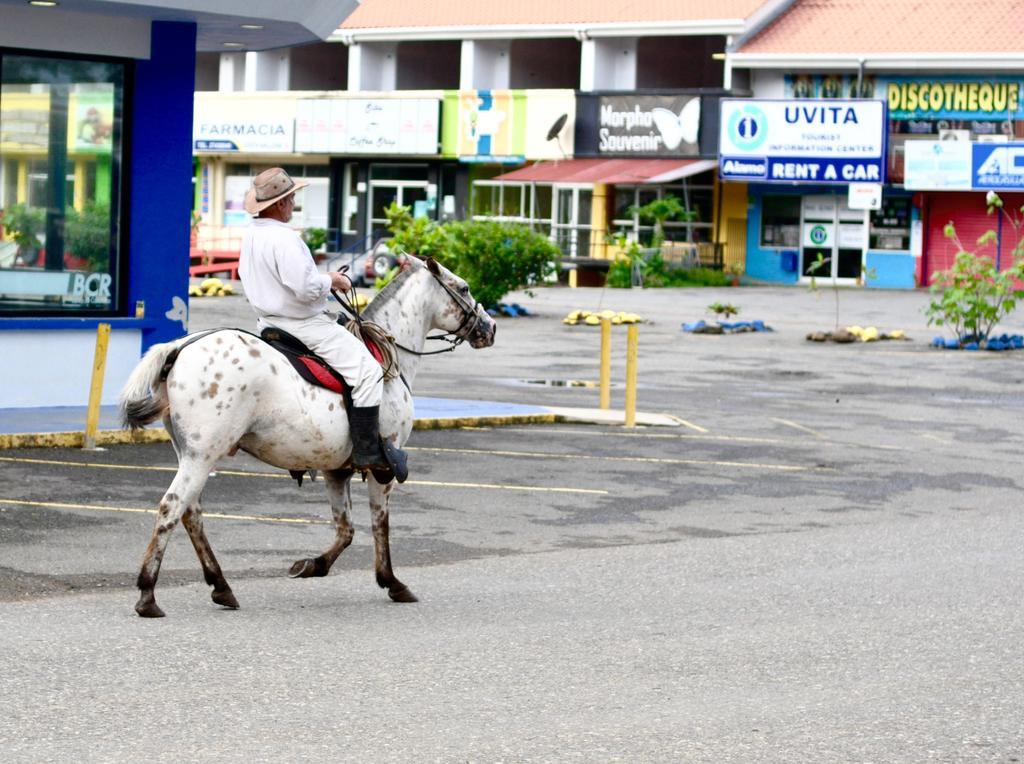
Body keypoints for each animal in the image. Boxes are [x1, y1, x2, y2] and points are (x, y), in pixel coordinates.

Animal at [119, 256, 495, 614]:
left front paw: (313, 565)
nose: (489, 327)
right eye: (463, 287)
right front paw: (391, 581)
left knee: (191, 512)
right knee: (172, 507)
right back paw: (148, 593)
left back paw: (221, 586)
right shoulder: (383, 466)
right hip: (202, 455)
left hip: (191, 455)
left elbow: (346, 529)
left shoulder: (335, 469)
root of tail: (180, 347)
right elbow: (379, 524)